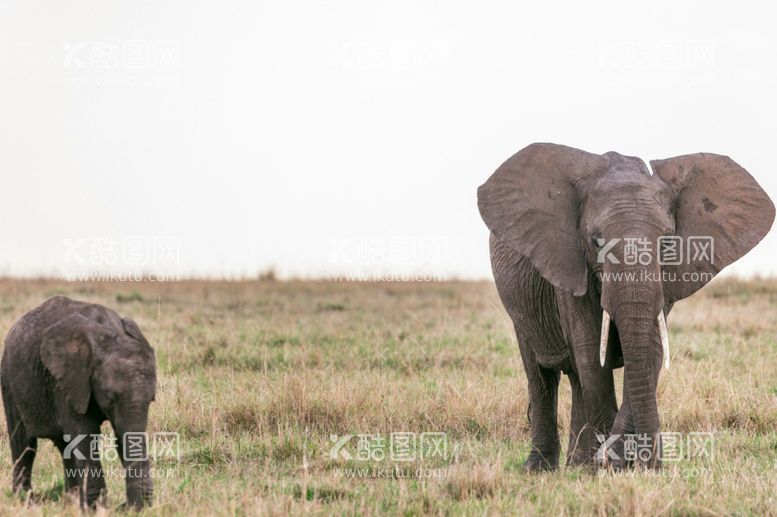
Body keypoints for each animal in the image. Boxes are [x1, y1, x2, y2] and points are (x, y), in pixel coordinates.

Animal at [1, 294, 156, 508]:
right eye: (110, 398)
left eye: (151, 400)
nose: (127, 507)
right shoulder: (67, 381)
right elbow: (85, 435)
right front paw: (96, 508)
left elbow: (120, 435)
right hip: (9, 380)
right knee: (24, 444)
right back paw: (25, 501)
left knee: (64, 446)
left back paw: (70, 501)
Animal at [476, 143, 772, 470]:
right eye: (595, 241)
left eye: (667, 243)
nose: (653, 465)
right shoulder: (569, 267)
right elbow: (593, 354)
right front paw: (608, 467)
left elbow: (650, 350)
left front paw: (617, 465)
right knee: (542, 377)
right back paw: (542, 469)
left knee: (576, 378)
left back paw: (577, 465)